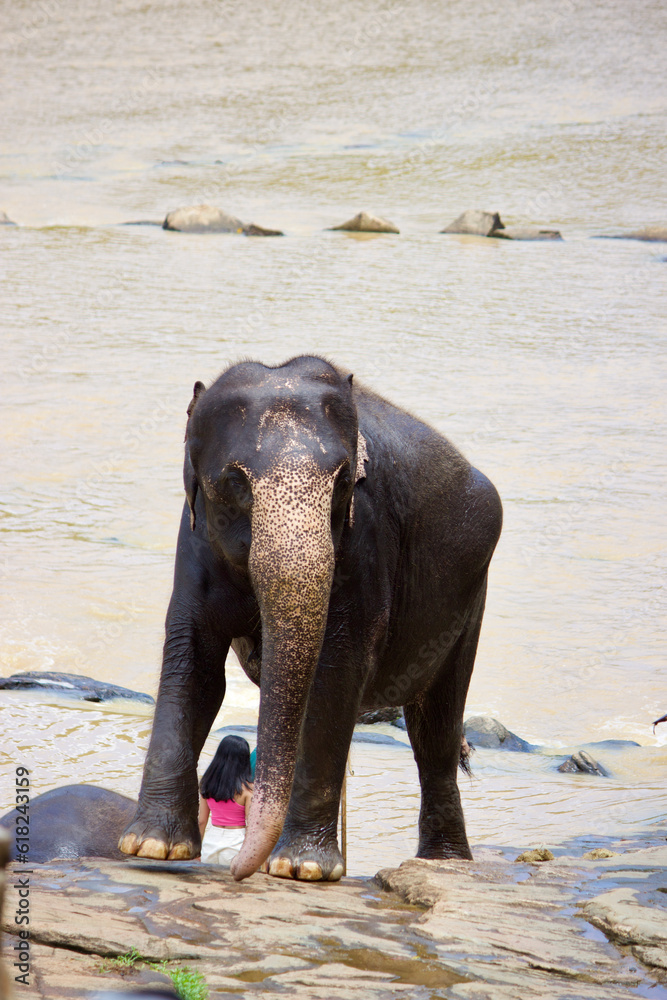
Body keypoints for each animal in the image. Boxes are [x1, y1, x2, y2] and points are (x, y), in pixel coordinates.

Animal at [119, 355, 502, 881]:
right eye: (234, 482)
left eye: (343, 482)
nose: (237, 870)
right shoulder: (194, 536)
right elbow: (194, 664)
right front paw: (152, 847)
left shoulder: (365, 537)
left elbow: (335, 674)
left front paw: (303, 869)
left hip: (470, 598)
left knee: (435, 731)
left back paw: (442, 865)